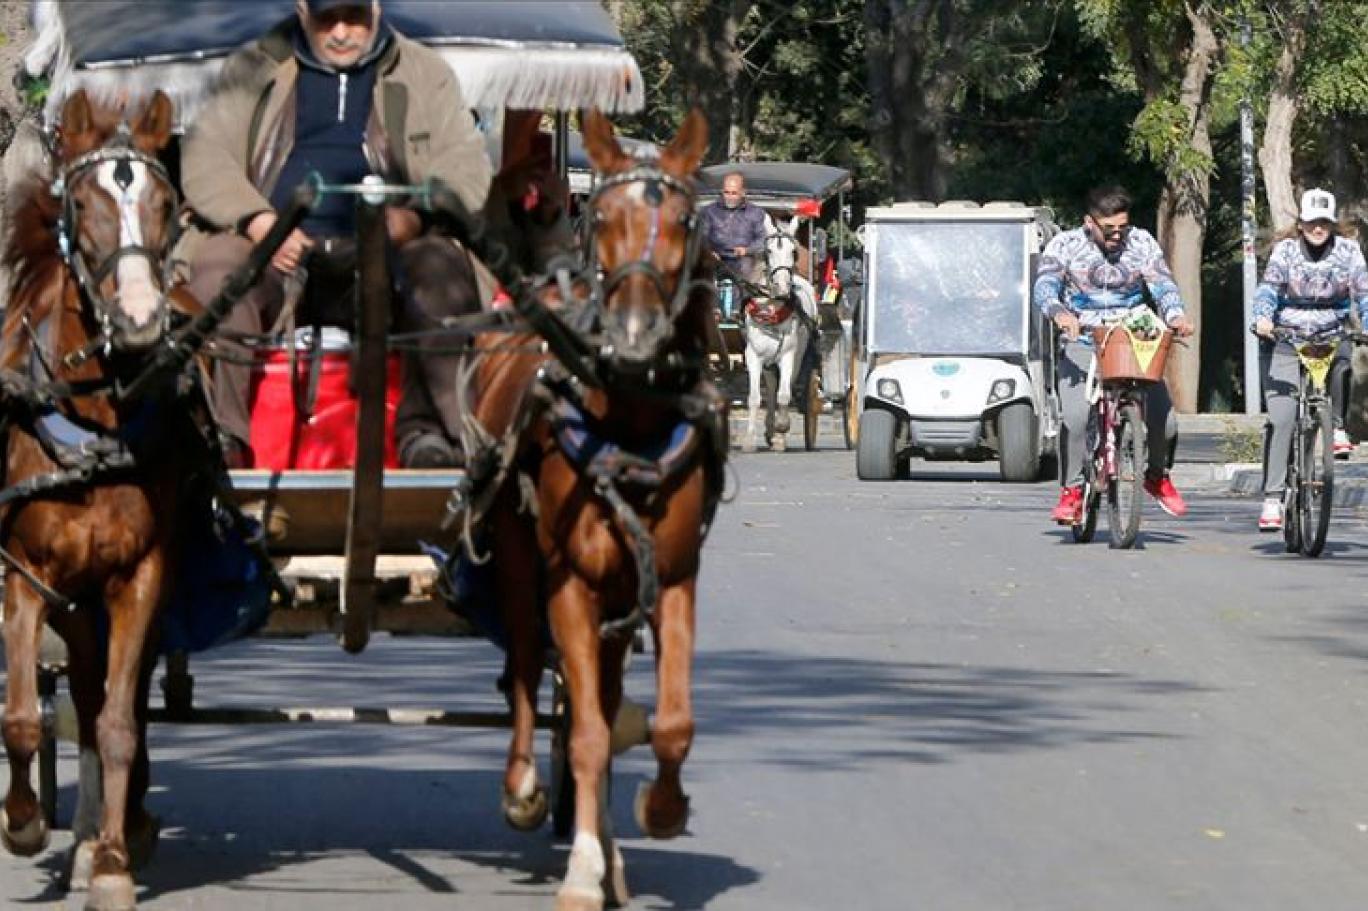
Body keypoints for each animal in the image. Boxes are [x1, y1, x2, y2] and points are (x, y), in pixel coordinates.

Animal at [462, 110, 722, 902]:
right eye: (601, 216)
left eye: (685, 219)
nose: (635, 337)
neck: (628, 422)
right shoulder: (570, 582)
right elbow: (583, 735)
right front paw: (581, 871)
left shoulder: (671, 576)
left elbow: (667, 723)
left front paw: (659, 811)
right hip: (521, 559)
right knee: (524, 662)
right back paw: (523, 786)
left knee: (600, 694)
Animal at [744, 213, 815, 454]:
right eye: (768, 252)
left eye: (794, 252)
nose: (784, 289)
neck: (773, 308)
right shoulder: (753, 356)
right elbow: (755, 398)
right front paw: (750, 440)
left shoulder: (788, 356)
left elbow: (785, 395)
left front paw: (781, 431)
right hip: (768, 363)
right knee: (772, 390)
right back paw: (769, 430)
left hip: (798, 356)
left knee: (785, 389)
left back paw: (777, 432)